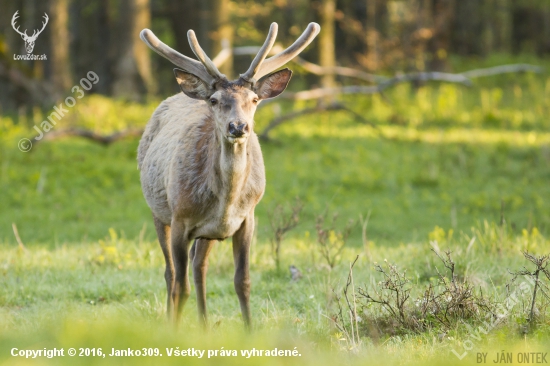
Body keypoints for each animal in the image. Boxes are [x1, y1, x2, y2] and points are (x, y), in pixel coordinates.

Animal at [136, 22, 322, 328]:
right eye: (214, 100)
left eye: (255, 99)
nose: (238, 126)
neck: (226, 200)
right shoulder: (179, 218)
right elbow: (180, 287)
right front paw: (173, 331)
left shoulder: (247, 219)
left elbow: (242, 281)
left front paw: (249, 330)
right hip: (157, 211)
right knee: (171, 273)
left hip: (207, 233)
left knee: (199, 267)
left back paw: (204, 326)